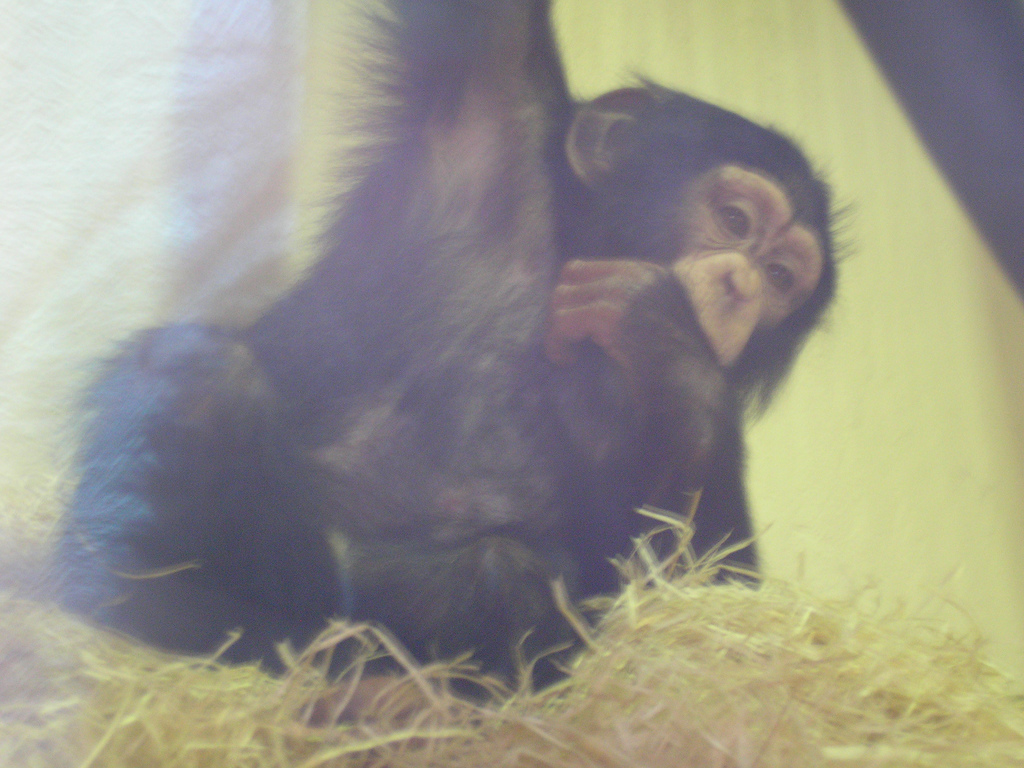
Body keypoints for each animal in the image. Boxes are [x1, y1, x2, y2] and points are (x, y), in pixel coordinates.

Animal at [56, 0, 835, 681]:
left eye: (779, 275)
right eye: (734, 219)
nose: (740, 284)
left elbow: (697, 593)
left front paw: (666, 337)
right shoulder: (490, 97)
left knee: (497, 572)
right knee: (202, 379)